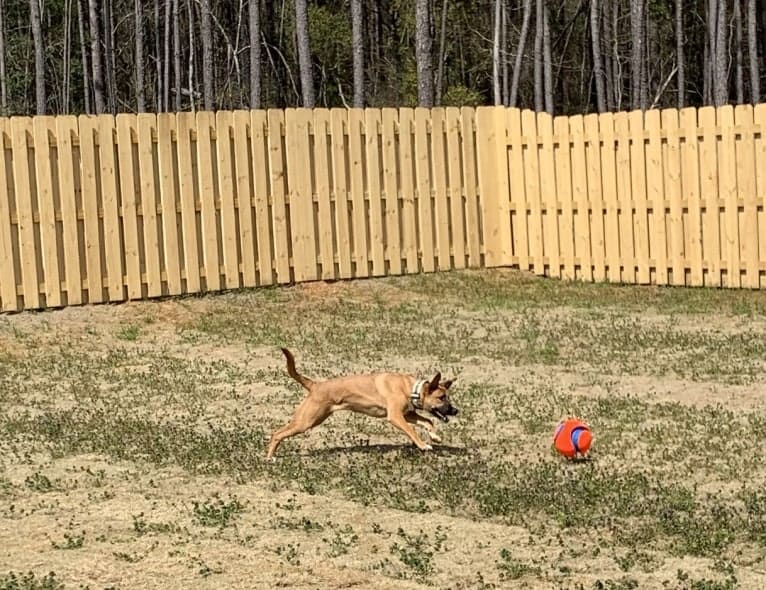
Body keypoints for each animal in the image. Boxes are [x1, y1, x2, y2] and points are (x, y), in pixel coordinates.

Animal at [268, 350, 460, 460]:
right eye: (442, 397)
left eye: (447, 397)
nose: (456, 410)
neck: (411, 388)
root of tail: (315, 385)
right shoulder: (396, 417)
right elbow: (411, 430)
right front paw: (423, 445)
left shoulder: (408, 414)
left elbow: (428, 421)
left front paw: (435, 437)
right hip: (306, 421)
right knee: (277, 434)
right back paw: (270, 457)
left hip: (316, 418)